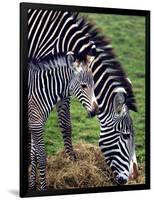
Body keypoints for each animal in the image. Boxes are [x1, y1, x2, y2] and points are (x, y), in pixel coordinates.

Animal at [28, 52, 98, 190]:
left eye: (94, 85)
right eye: (83, 86)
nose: (95, 111)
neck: (41, 90)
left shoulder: (35, 123)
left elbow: (33, 155)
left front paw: (32, 185)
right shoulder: (36, 123)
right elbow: (41, 156)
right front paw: (42, 187)